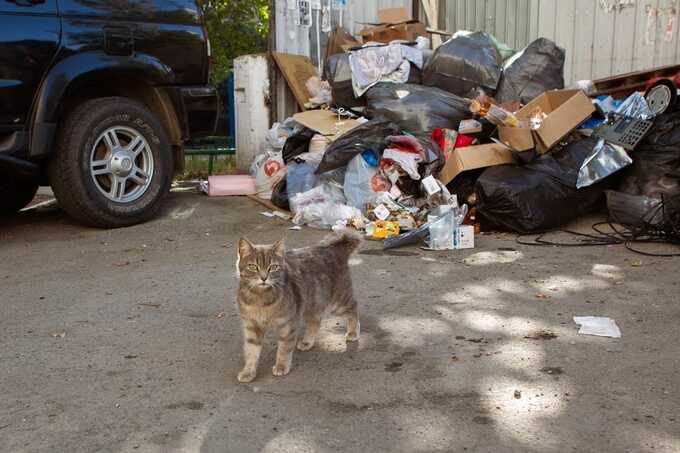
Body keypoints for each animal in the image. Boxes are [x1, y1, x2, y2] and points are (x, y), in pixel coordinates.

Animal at [234, 230, 362, 382]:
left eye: (273, 267)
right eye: (253, 266)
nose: (264, 278)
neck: (260, 299)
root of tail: (335, 249)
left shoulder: (287, 325)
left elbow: (283, 349)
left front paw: (281, 366)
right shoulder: (252, 327)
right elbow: (251, 352)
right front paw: (248, 372)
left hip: (338, 302)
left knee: (354, 308)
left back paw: (353, 332)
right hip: (311, 303)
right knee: (315, 321)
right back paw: (307, 342)